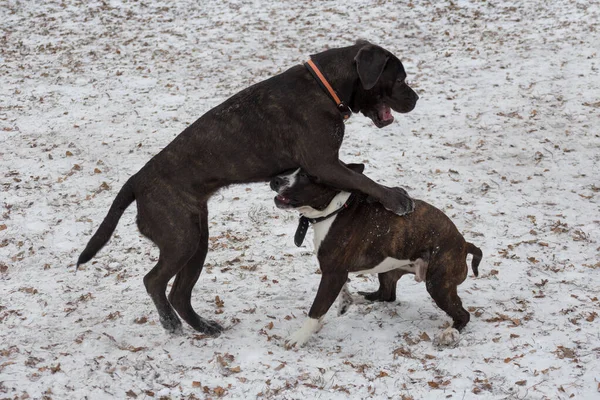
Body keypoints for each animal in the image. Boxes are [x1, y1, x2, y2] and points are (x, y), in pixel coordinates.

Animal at [77, 40, 420, 334]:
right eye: (400, 79)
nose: (416, 99)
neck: (325, 87)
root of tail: (137, 180)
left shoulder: (326, 167)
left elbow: (357, 179)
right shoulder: (323, 163)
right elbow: (363, 179)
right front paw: (396, 199)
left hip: (197, 241)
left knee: (179, 293)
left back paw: (203, 326)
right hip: (181, 239)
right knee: (153, 281)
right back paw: (170, 322)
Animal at [272, 164, 482, 346]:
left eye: (306, 175)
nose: (275, 180)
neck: (335, 209)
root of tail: (465, 244)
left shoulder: (333, 273)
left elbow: (316, 309)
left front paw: (299, 337)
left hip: (438, 284)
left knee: (462, 314)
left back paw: (450, 332)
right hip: (388, 270)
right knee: (386, 294)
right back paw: (354, 299)